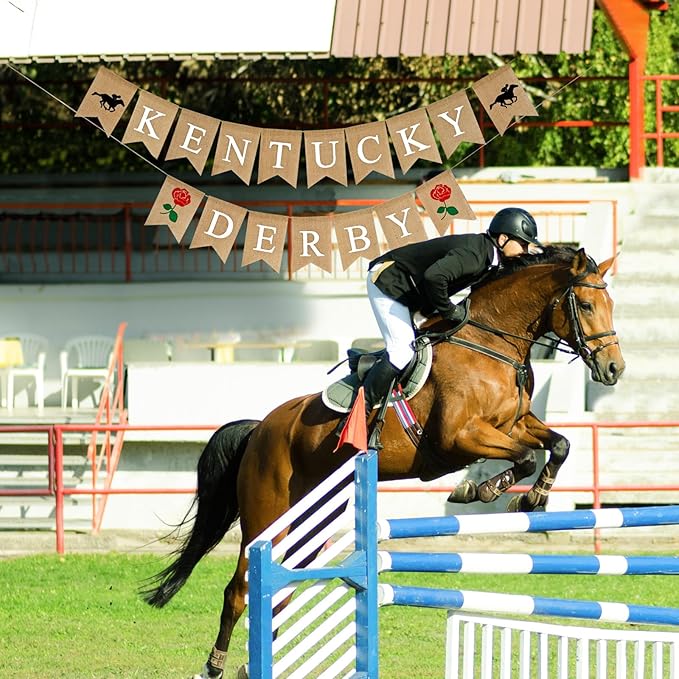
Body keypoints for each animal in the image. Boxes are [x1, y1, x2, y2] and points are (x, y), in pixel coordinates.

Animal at [141, 246, 624, 678]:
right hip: (266, 518)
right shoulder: (460, 437)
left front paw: (533, 499)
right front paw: (480, 489)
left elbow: (558, 444)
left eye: (611, 304)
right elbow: (522, 459)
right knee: (239, 591)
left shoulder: (515, 424)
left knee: (279, 591)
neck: (491, 343)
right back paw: (215, 667)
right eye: (585, 304)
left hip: (307, 526)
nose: (614, 369)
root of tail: (260, 429)